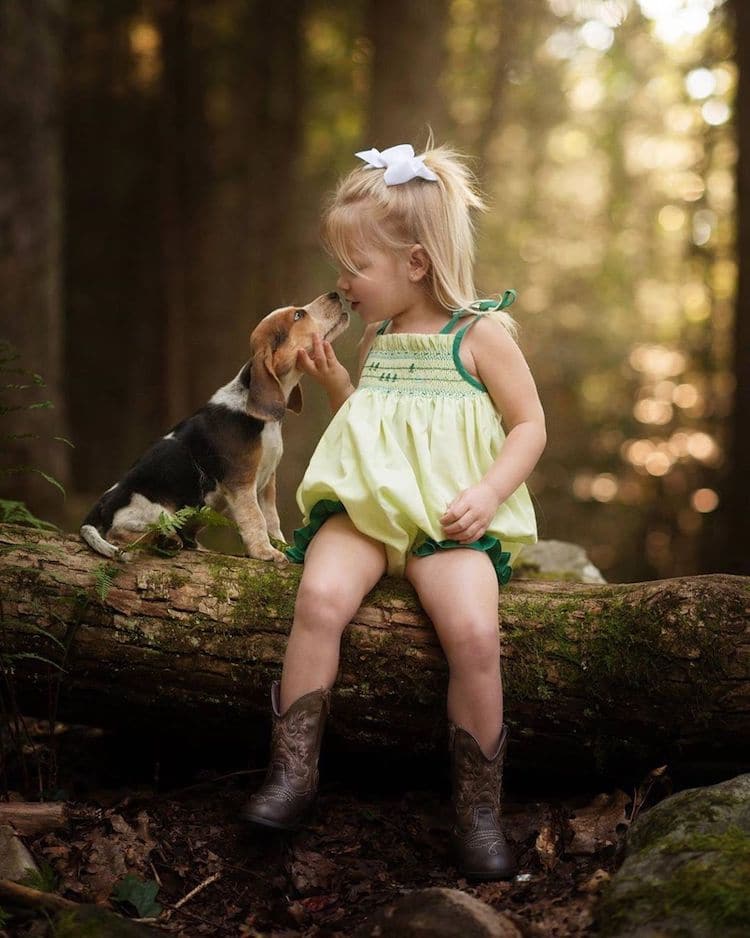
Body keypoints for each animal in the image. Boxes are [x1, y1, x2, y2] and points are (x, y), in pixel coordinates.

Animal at [81, 288, 352, 560]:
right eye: (298, 315)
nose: (335, 294)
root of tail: (98, 508)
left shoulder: (266, 482)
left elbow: (272, 519)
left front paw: (280, 545)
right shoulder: (241, 484)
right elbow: (255, 519)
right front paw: (266, 552)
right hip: (152, 507)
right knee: (123, 535)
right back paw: (167, 540)